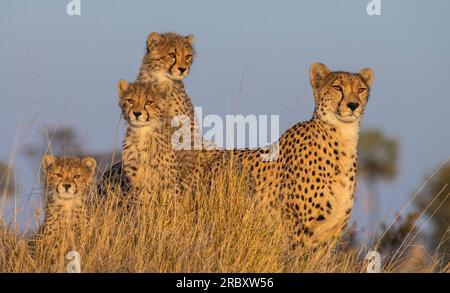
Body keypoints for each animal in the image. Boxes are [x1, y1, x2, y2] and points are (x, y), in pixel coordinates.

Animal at [197, 62, 372, 248]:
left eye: (361, 89)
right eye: (337, 87)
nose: (353, 105)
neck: (343, 136)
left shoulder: (329, 236)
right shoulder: (296, 229)